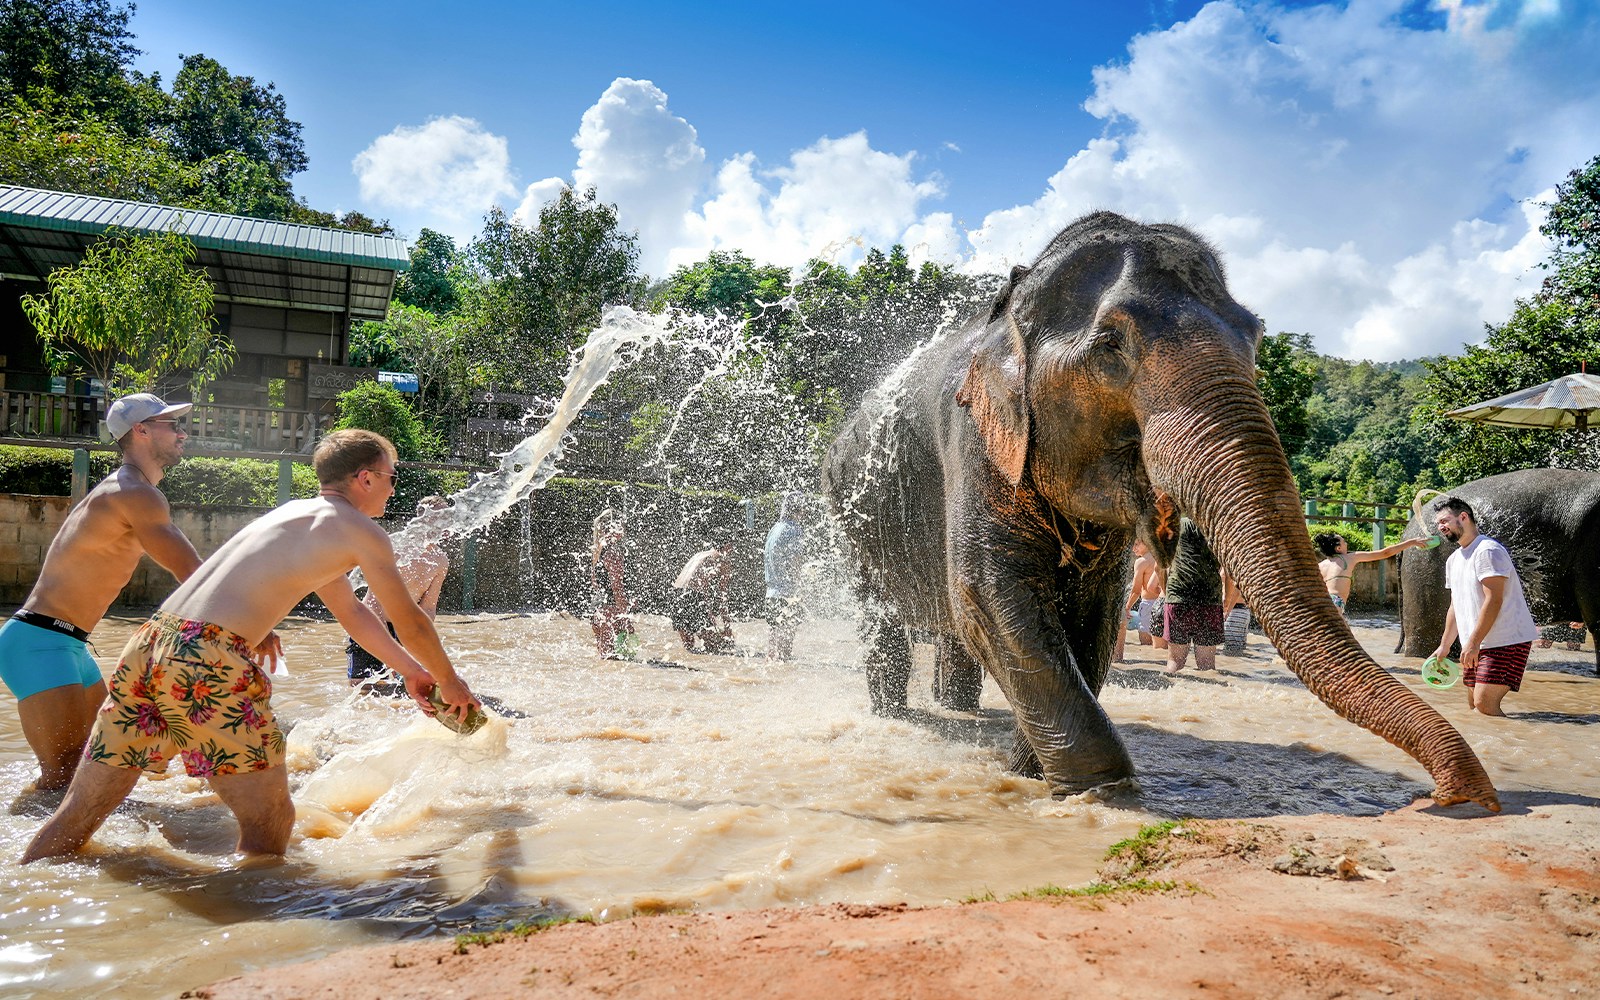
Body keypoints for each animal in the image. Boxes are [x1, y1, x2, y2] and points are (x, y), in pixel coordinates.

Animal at [825, 211, 1497, 812]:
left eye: (1255, 334)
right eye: (1110, 346)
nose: (1459, 797)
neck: (1009, 310)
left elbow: (1091, 612)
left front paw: (1030, 771)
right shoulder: (972, 437)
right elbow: (990, 594)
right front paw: (1103, 793)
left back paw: (959, 712)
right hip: (850, 516)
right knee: (889, 614)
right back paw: (896, 714)